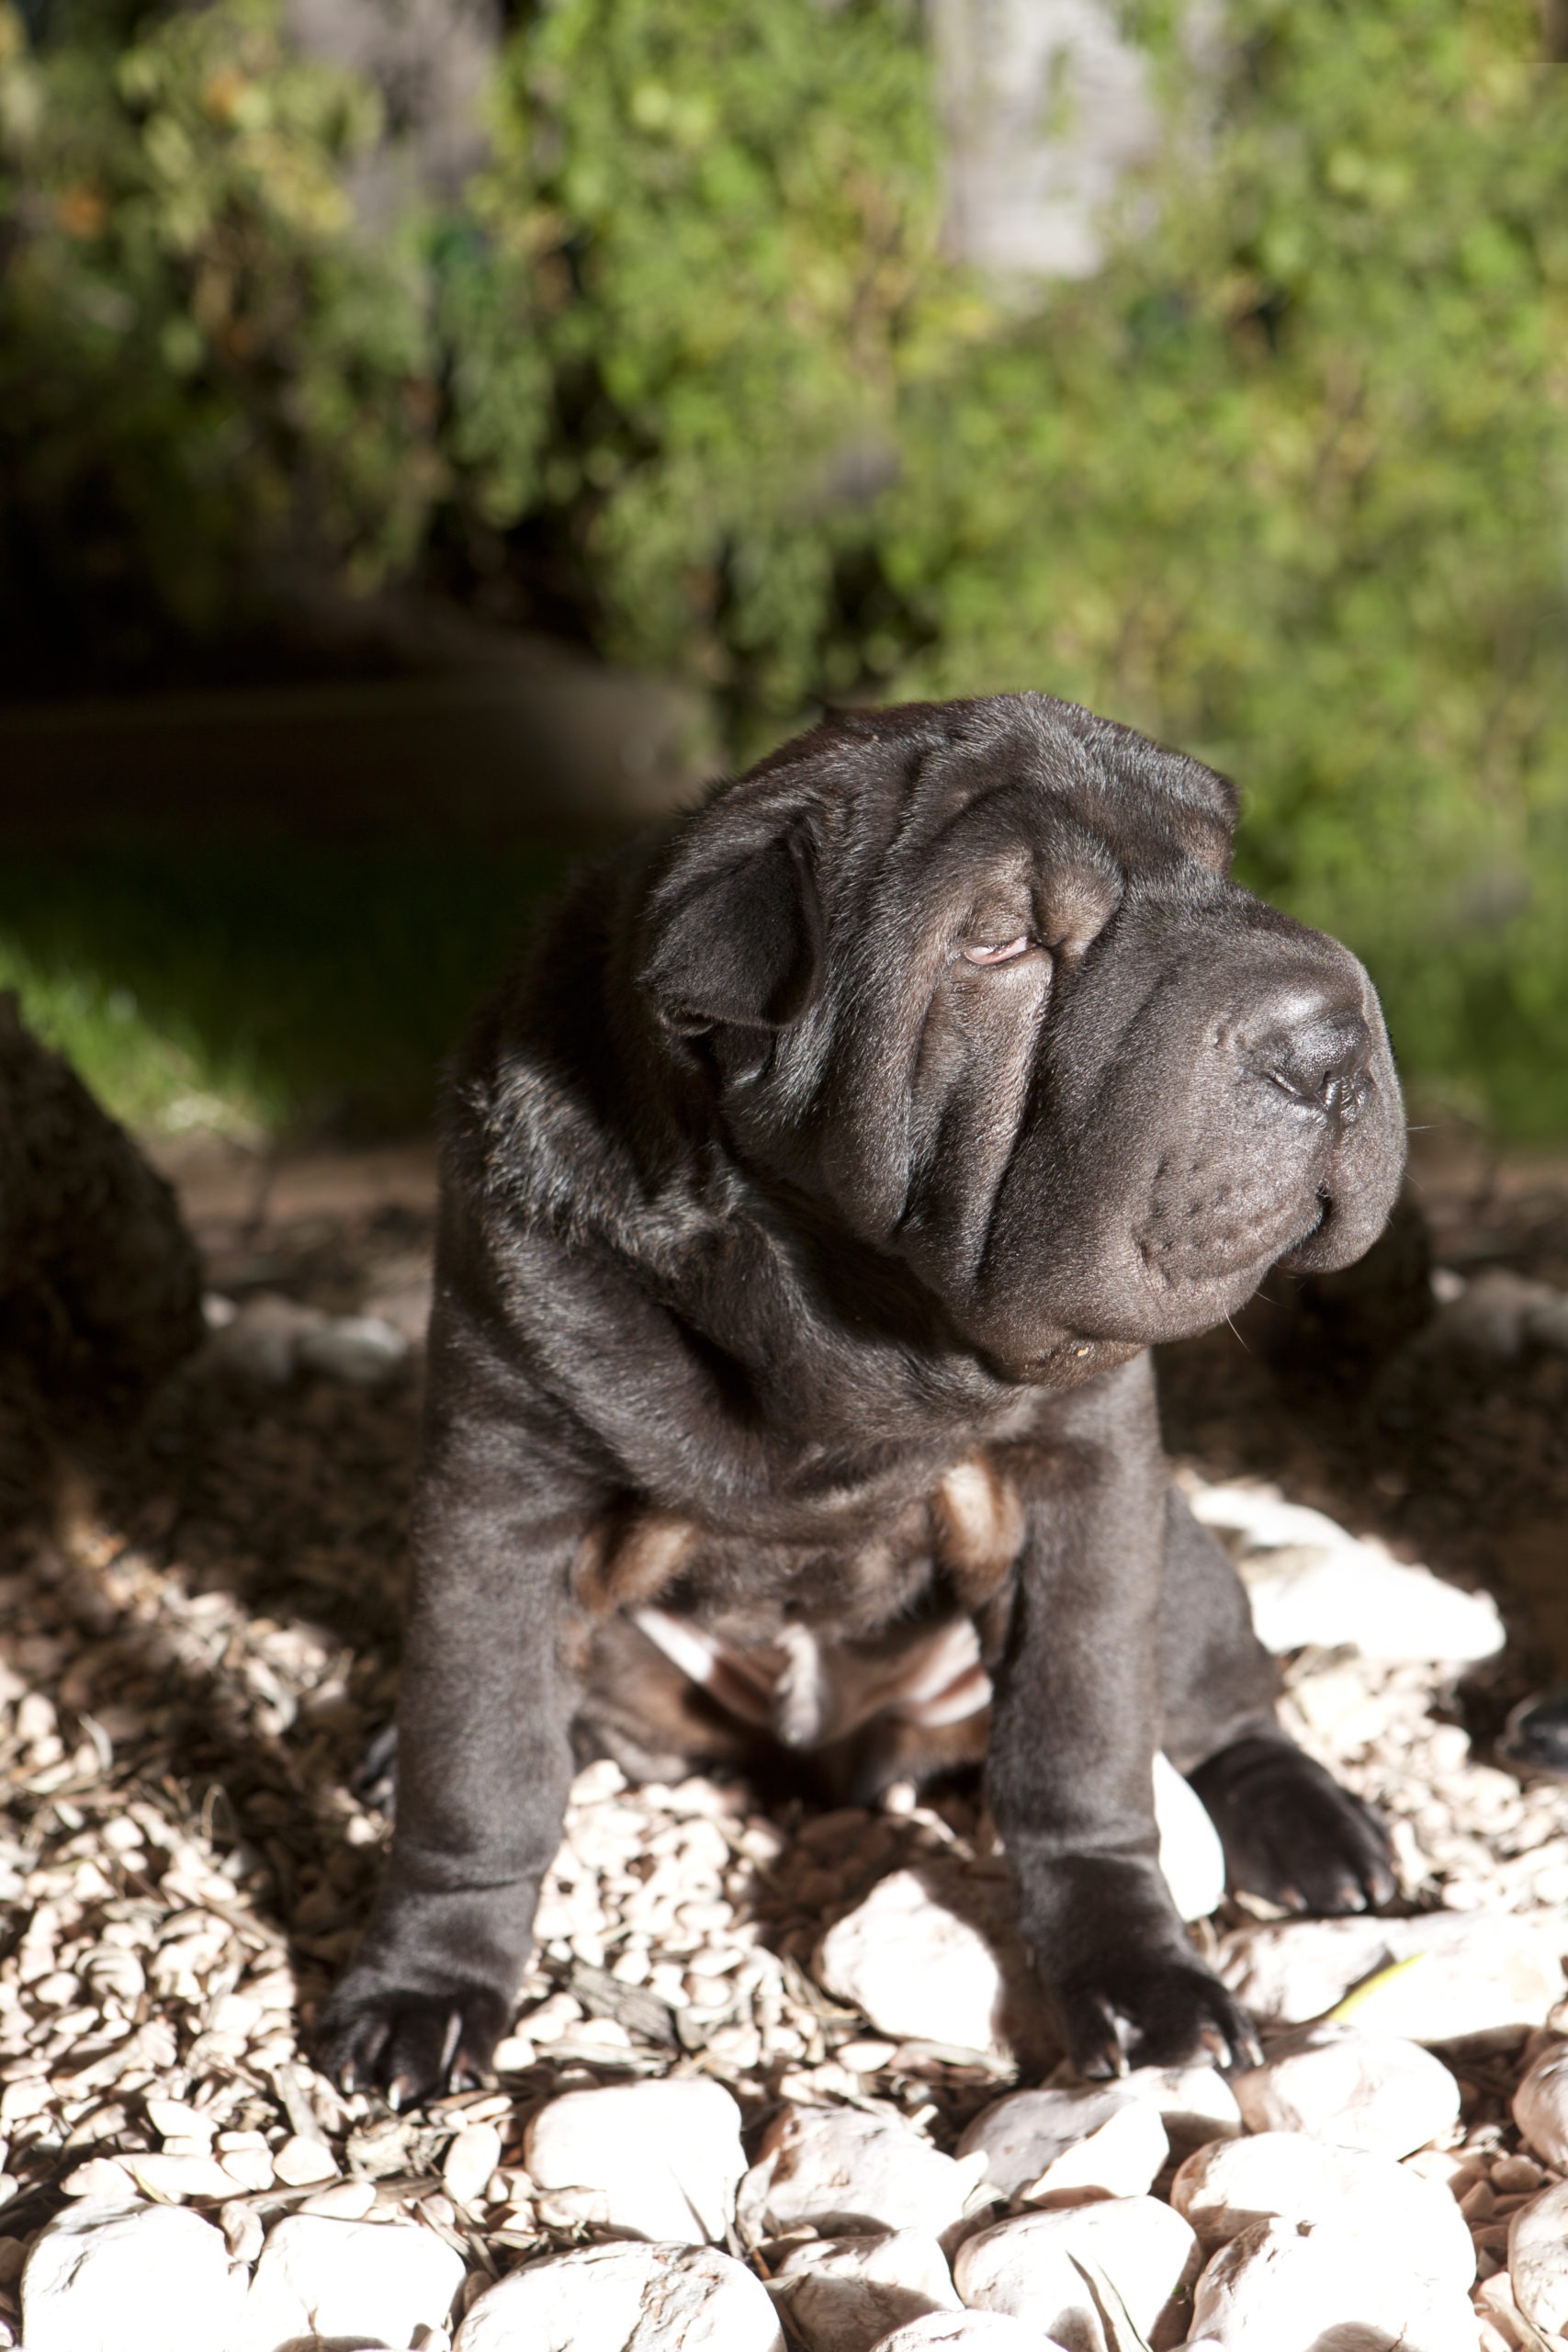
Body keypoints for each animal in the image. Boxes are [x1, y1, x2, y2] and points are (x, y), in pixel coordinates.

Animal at [324, 686, 1401, 2107]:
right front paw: (424, 1985)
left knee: (1222, 1700)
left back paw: (1317, 1831)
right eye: (1002, 938)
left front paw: (1142, 1981)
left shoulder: (1084, 1483)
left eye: (1223, 868)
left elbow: (1081, 1750)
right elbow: (482, 1766)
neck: (850, 1318)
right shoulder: (504, 1488)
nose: (1325, 1035)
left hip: (1178, 1561)